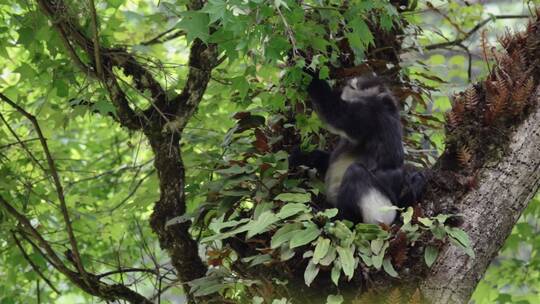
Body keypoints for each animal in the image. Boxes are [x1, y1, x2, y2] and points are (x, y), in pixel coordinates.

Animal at [292, 74, 426, 224]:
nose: (343, 88)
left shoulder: (369, 112)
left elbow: (336, 114)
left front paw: (309, 74)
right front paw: (305, 156)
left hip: (381, 211)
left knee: (356, 172)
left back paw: (341, 218)